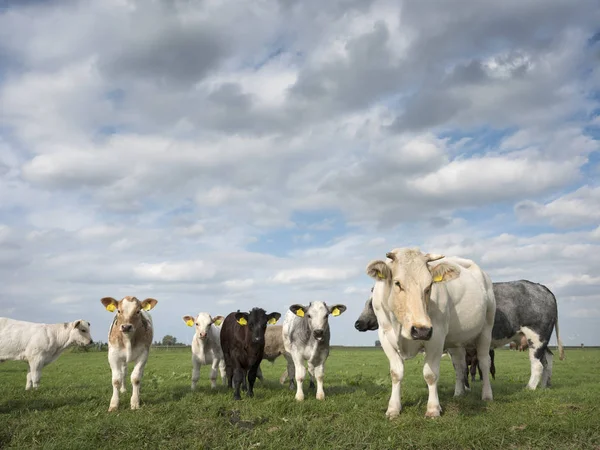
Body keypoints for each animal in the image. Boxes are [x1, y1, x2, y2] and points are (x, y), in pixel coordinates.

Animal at [368, 248, 494, 416]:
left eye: (429, 286)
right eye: (397, 283)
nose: (421, 330)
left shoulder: (436, 336)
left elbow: (430, 374)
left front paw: (433, 408)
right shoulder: (384, 335)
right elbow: (396, 373)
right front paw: (393, 408)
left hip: (486, 328)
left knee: (484, 361)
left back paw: (487, 395)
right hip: (455, 340)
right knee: (459, 364)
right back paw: (458, 393)